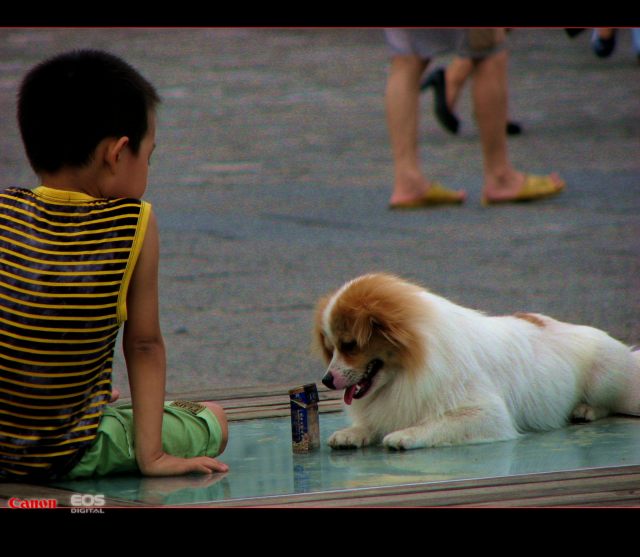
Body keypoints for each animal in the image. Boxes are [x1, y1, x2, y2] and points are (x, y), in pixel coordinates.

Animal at [316, 274, 640, 452]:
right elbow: (373, 423)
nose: (326, 380)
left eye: (350, 345)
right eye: (331, 348)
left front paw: (405, 435)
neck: (410, 368)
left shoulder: (486, 414)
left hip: (604, 378)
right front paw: (353, 433)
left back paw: (587, 409)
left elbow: (436, 423)